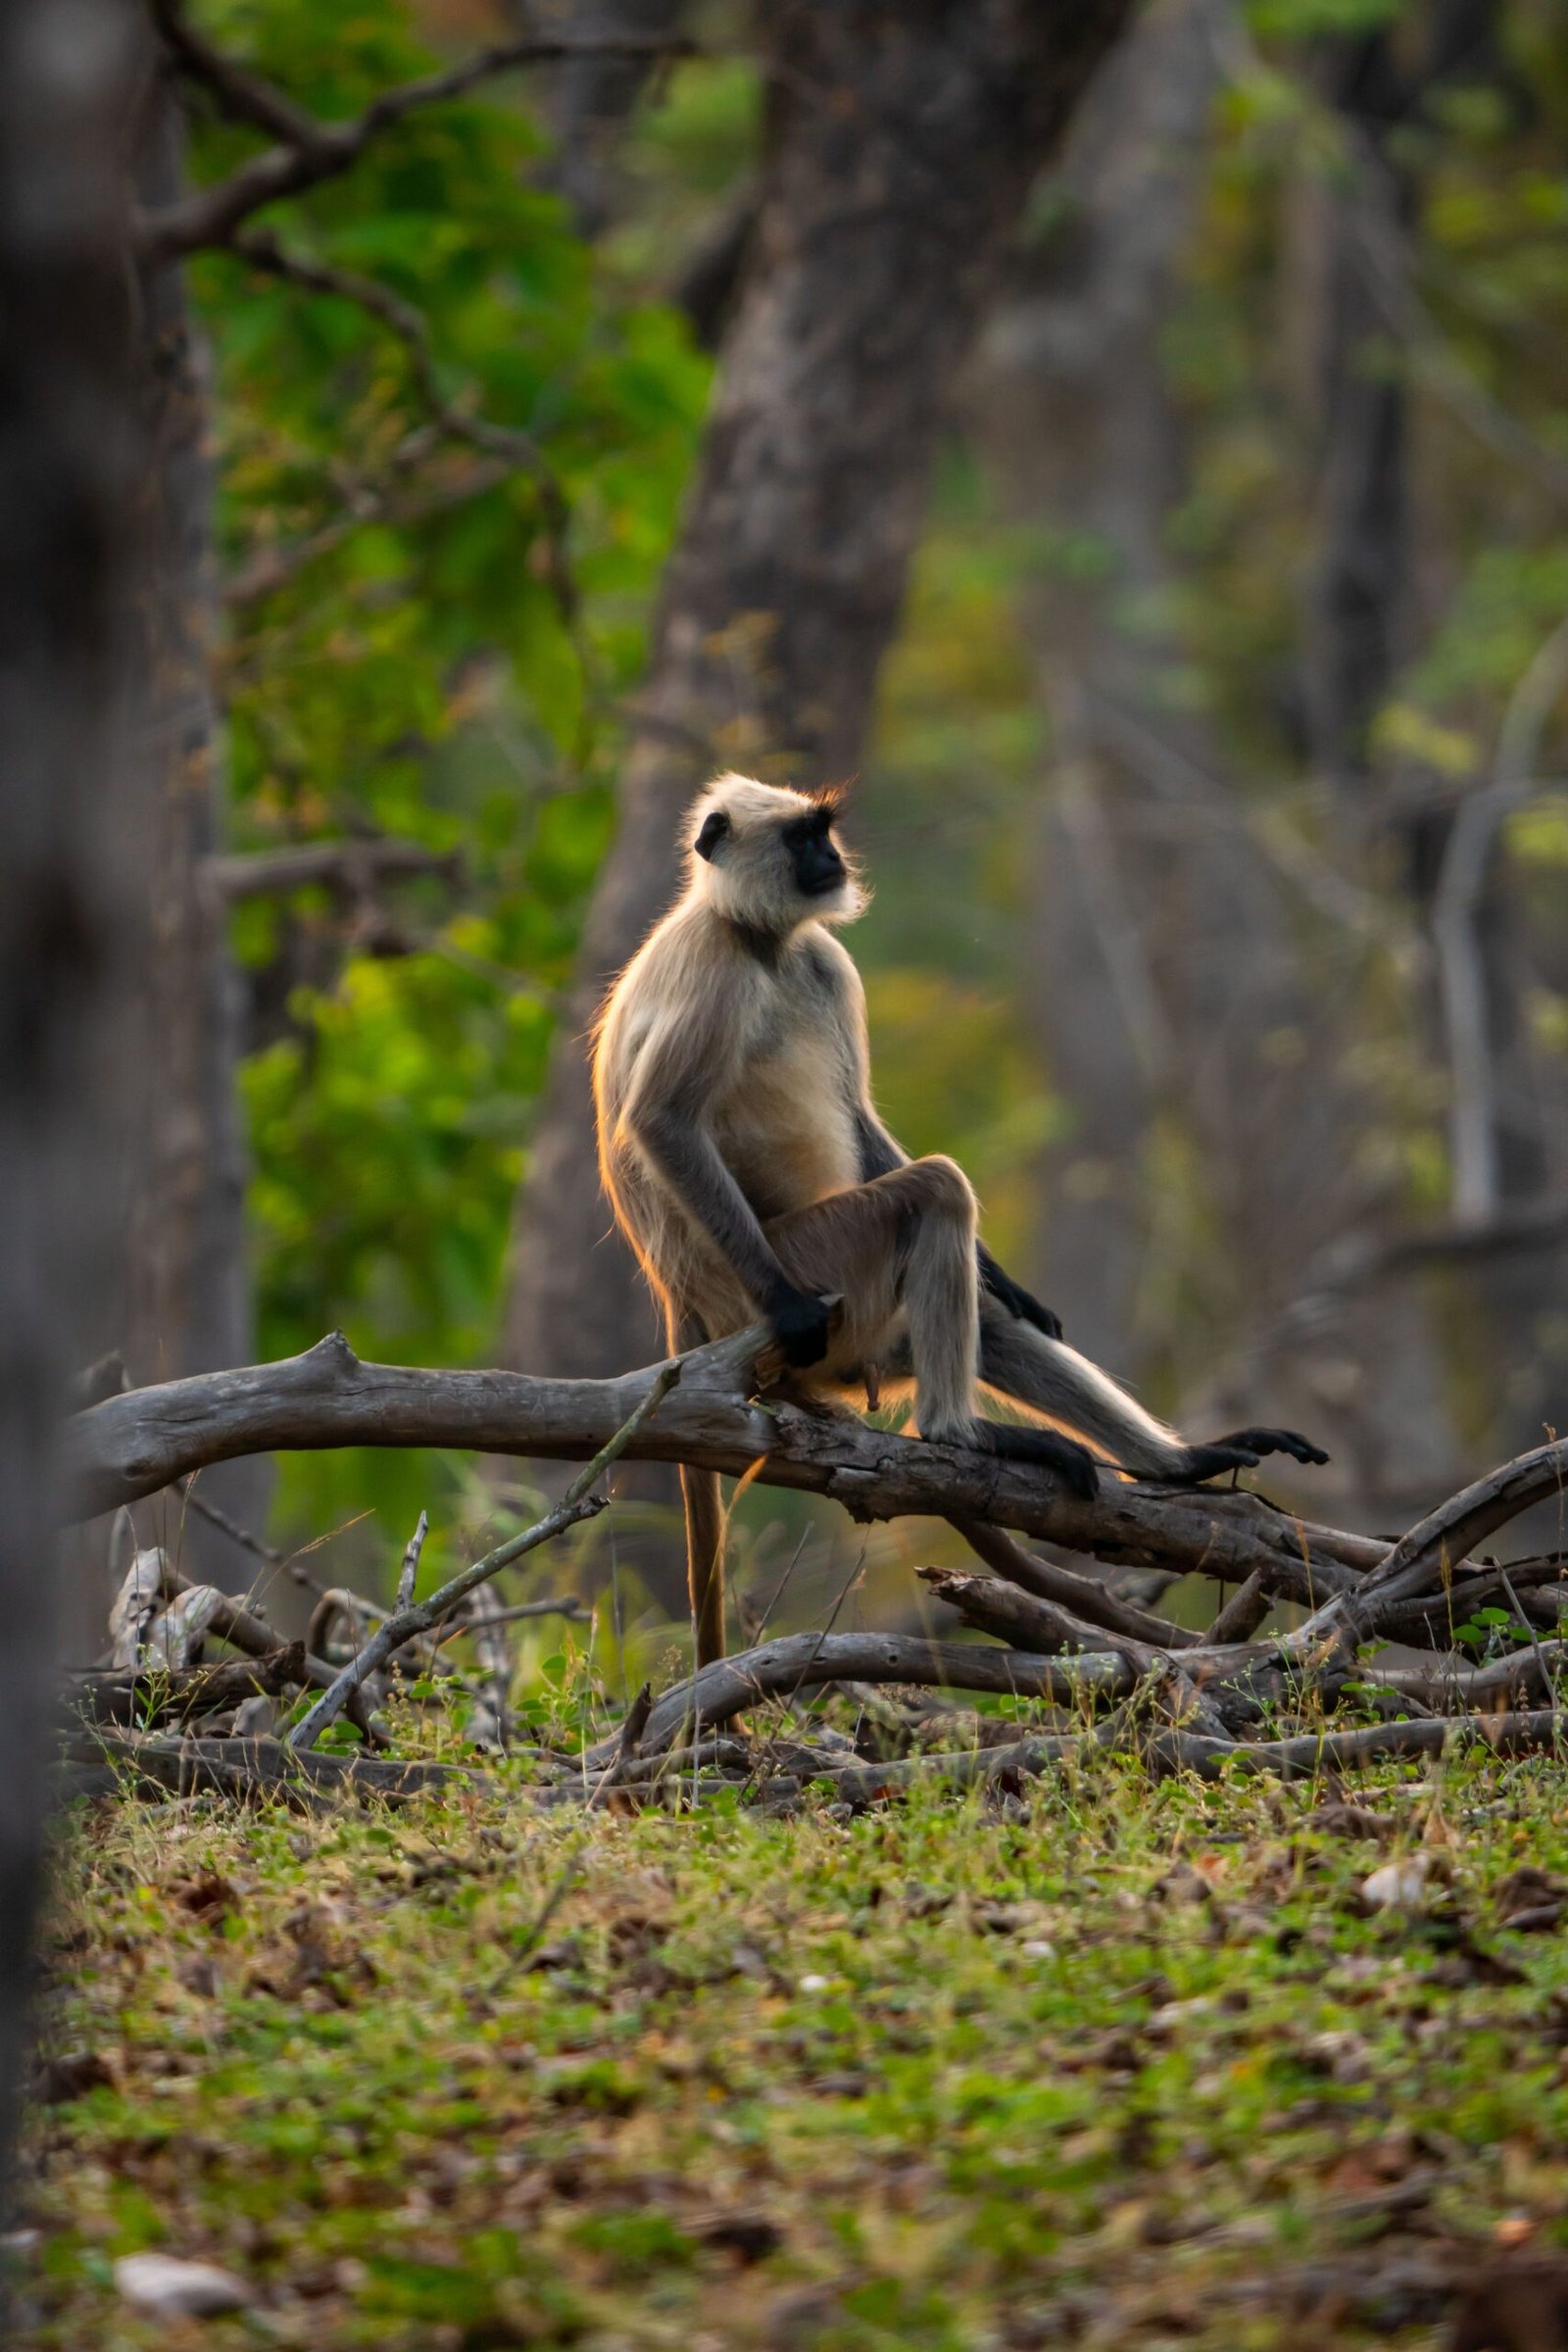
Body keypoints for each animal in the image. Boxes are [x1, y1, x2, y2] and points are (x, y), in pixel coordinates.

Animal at [592, 773, 1327, 1664]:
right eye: (804, 838)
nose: (834, 859)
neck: (761, 941)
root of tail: (685, 1300)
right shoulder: (714, 964)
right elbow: (663, 1119)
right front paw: (790, 1304)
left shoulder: (822, 961)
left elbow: (858, 1116)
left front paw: (1009, 1282)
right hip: (811, 1269)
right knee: (936, 1190)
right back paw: (956, 1434)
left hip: (864, 1341)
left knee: (995, 1316)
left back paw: (1176, 1463)